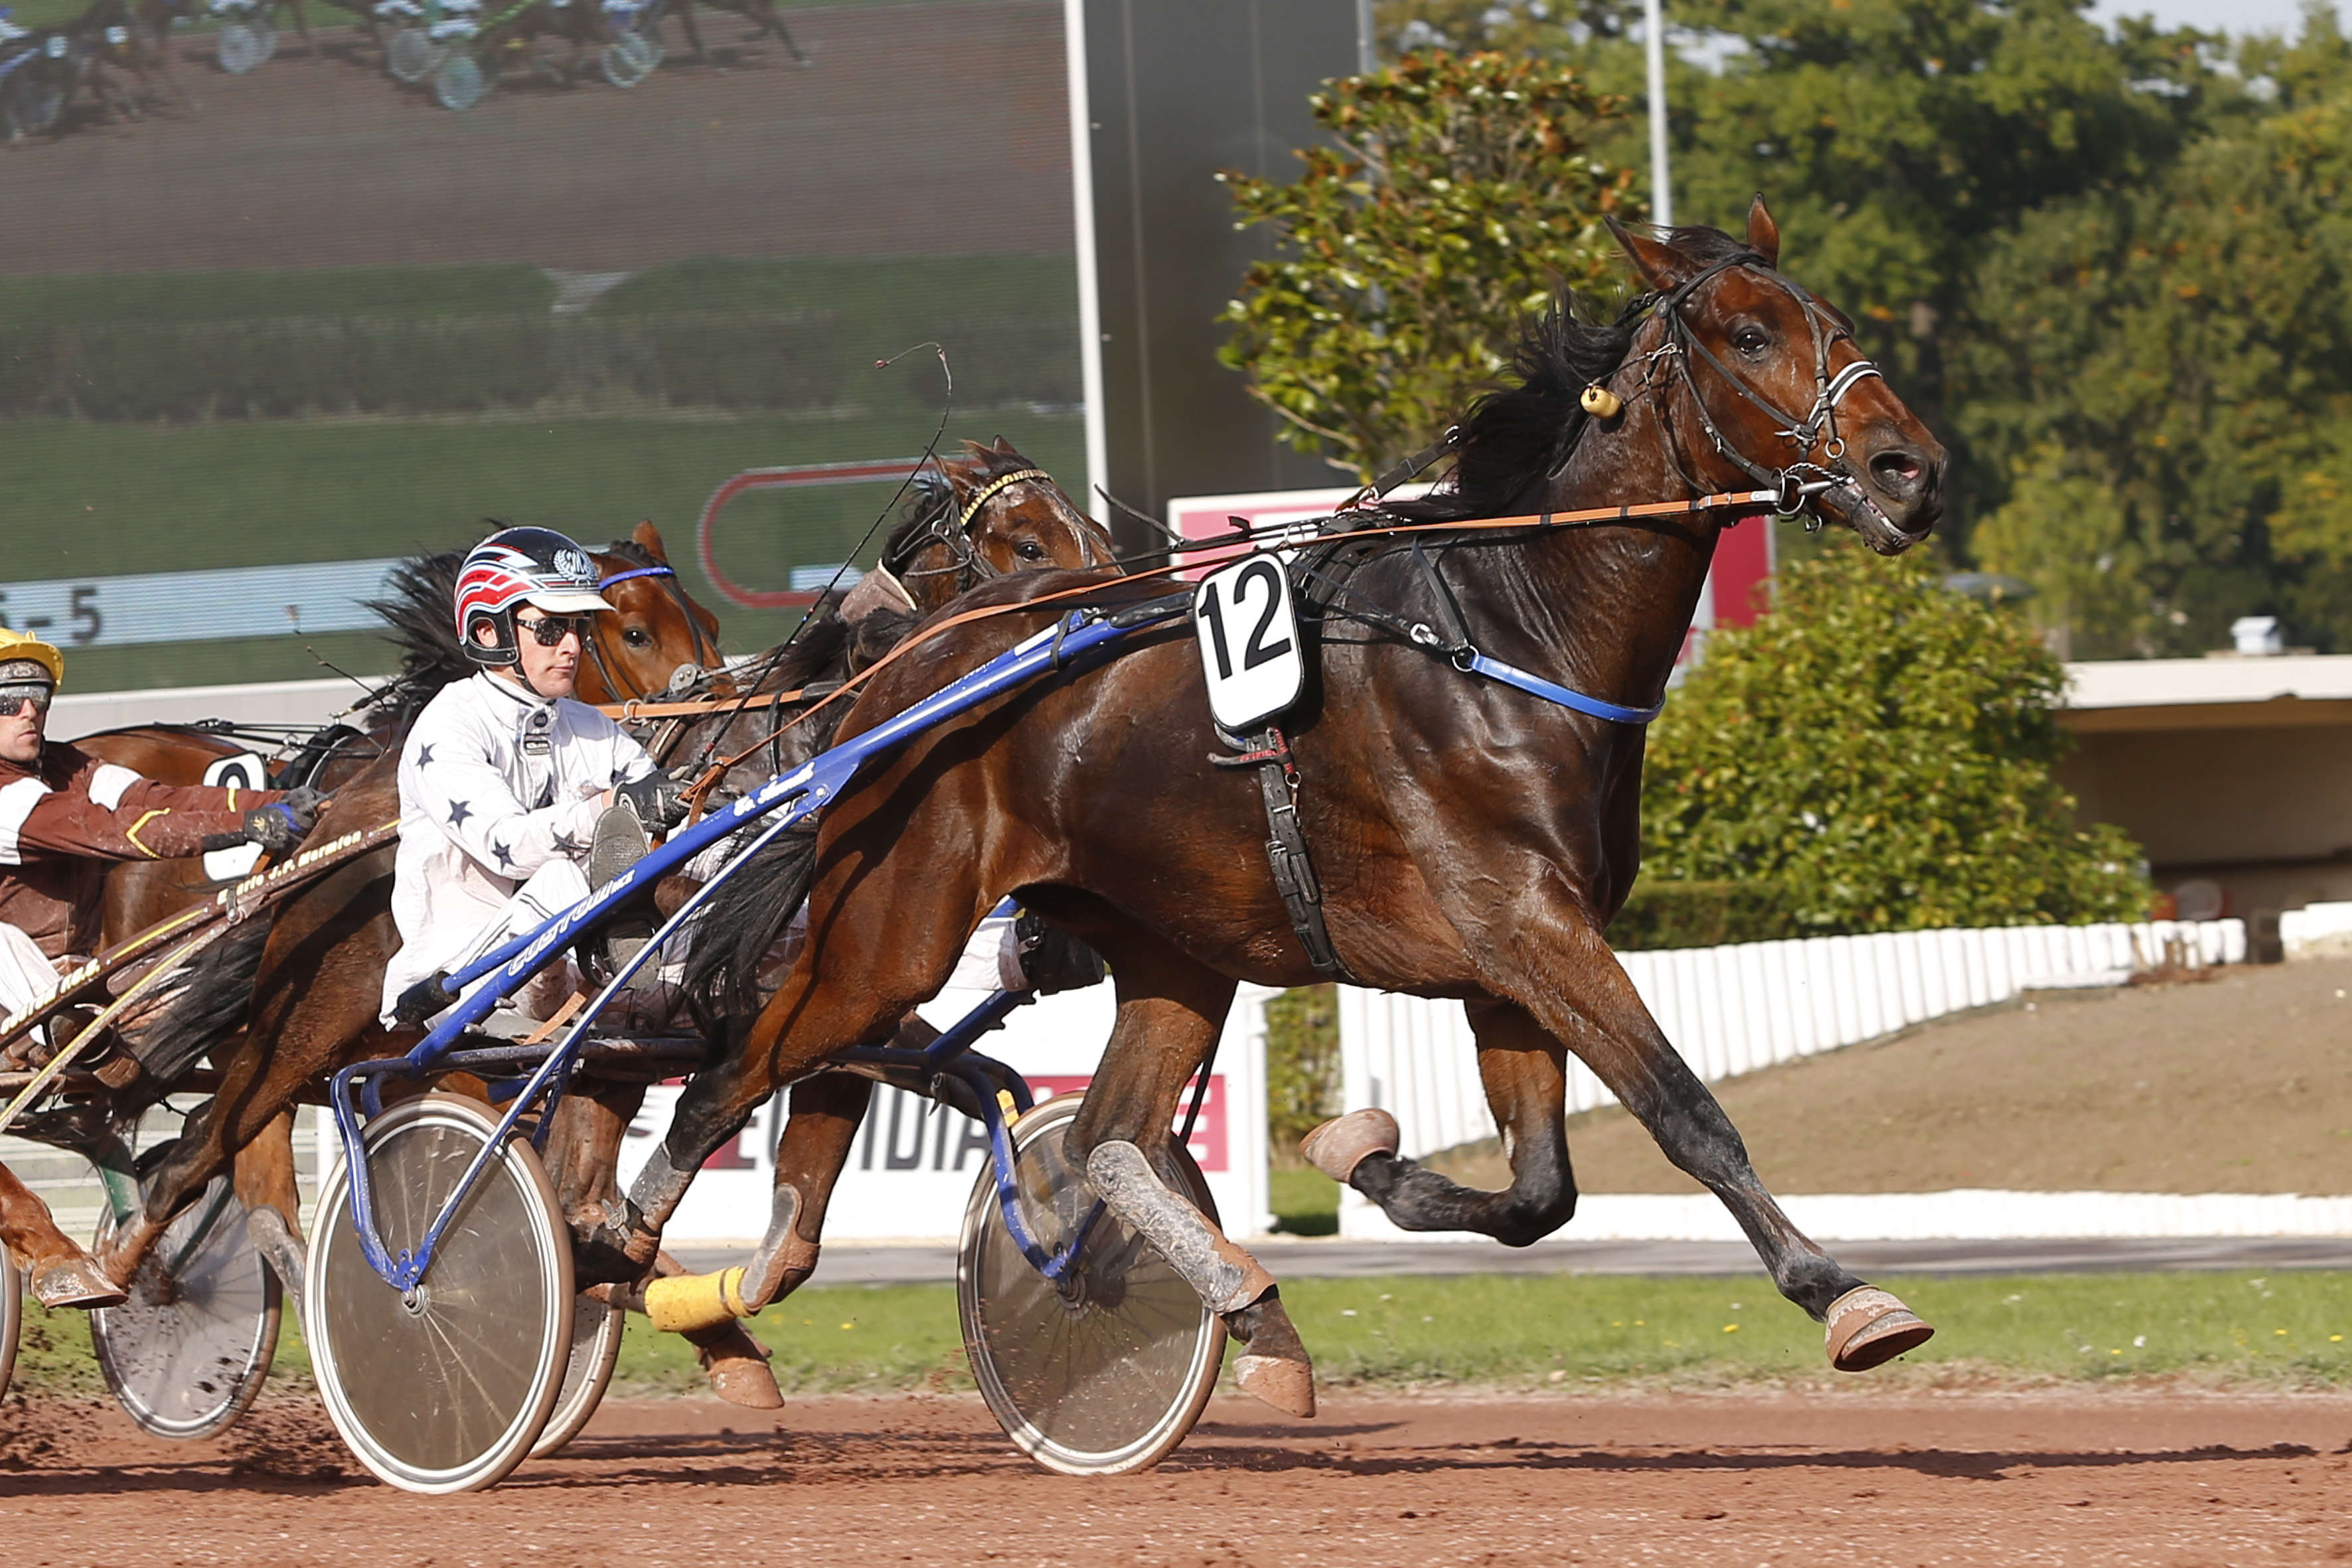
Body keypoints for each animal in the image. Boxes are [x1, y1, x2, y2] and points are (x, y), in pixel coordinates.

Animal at [621, 202, 1947, 1419]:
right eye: (1747, 333)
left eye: (1834, 320)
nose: (1910, 470)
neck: (1509, 631)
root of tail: (895, 675)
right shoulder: (1526, 923)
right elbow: (1685, 1110)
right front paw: (1844, 1294)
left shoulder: (1509, 954)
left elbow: (1539, 1191)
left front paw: (1360, 1153)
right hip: (890, 935)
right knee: (728, 1077)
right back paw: (628, 1257)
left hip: (1170, 943)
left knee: (1106, 1134)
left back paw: (1250, 1316)